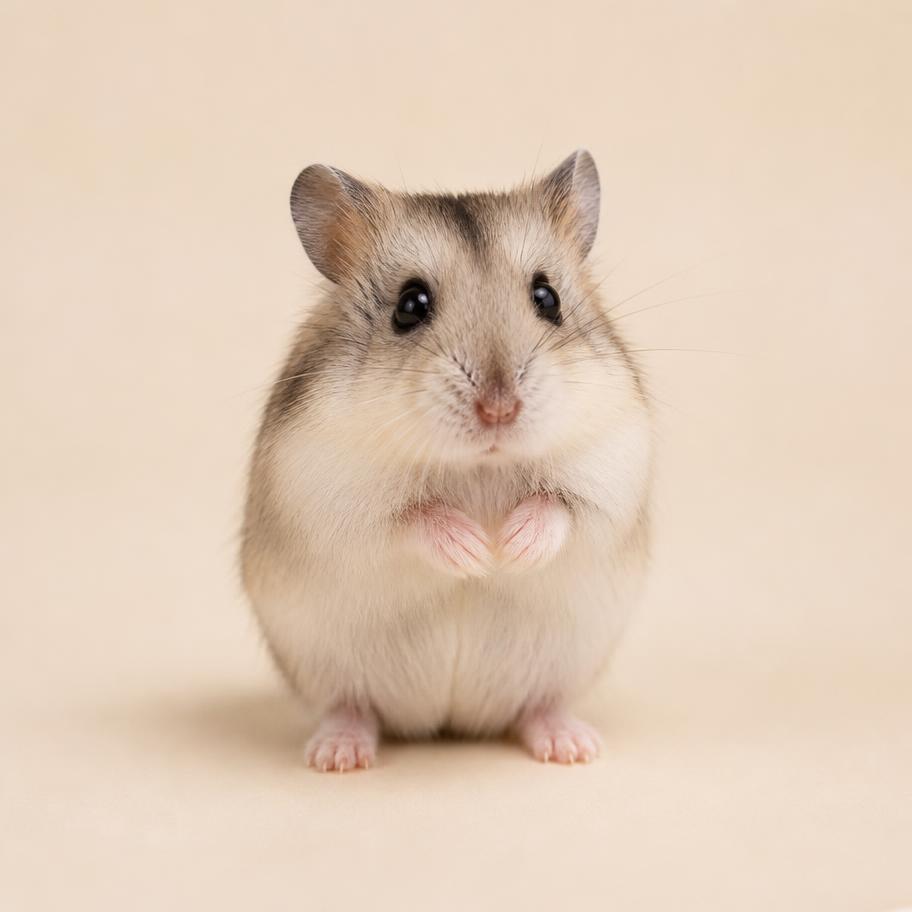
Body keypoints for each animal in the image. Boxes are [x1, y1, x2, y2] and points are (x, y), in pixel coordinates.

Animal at [241, 150, 654, 771]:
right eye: (410, 306)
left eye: (548, 299)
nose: (499, 409)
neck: (478, 464)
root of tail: (449, 720)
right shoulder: (333, 495)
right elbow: (412, 518)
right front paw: (476, 553)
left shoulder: (610, 467)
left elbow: (560, 508)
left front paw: (508, 549)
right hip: (326, 670)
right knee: (352, 706)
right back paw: (338, 756)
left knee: (539, 705)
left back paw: (572, 747)